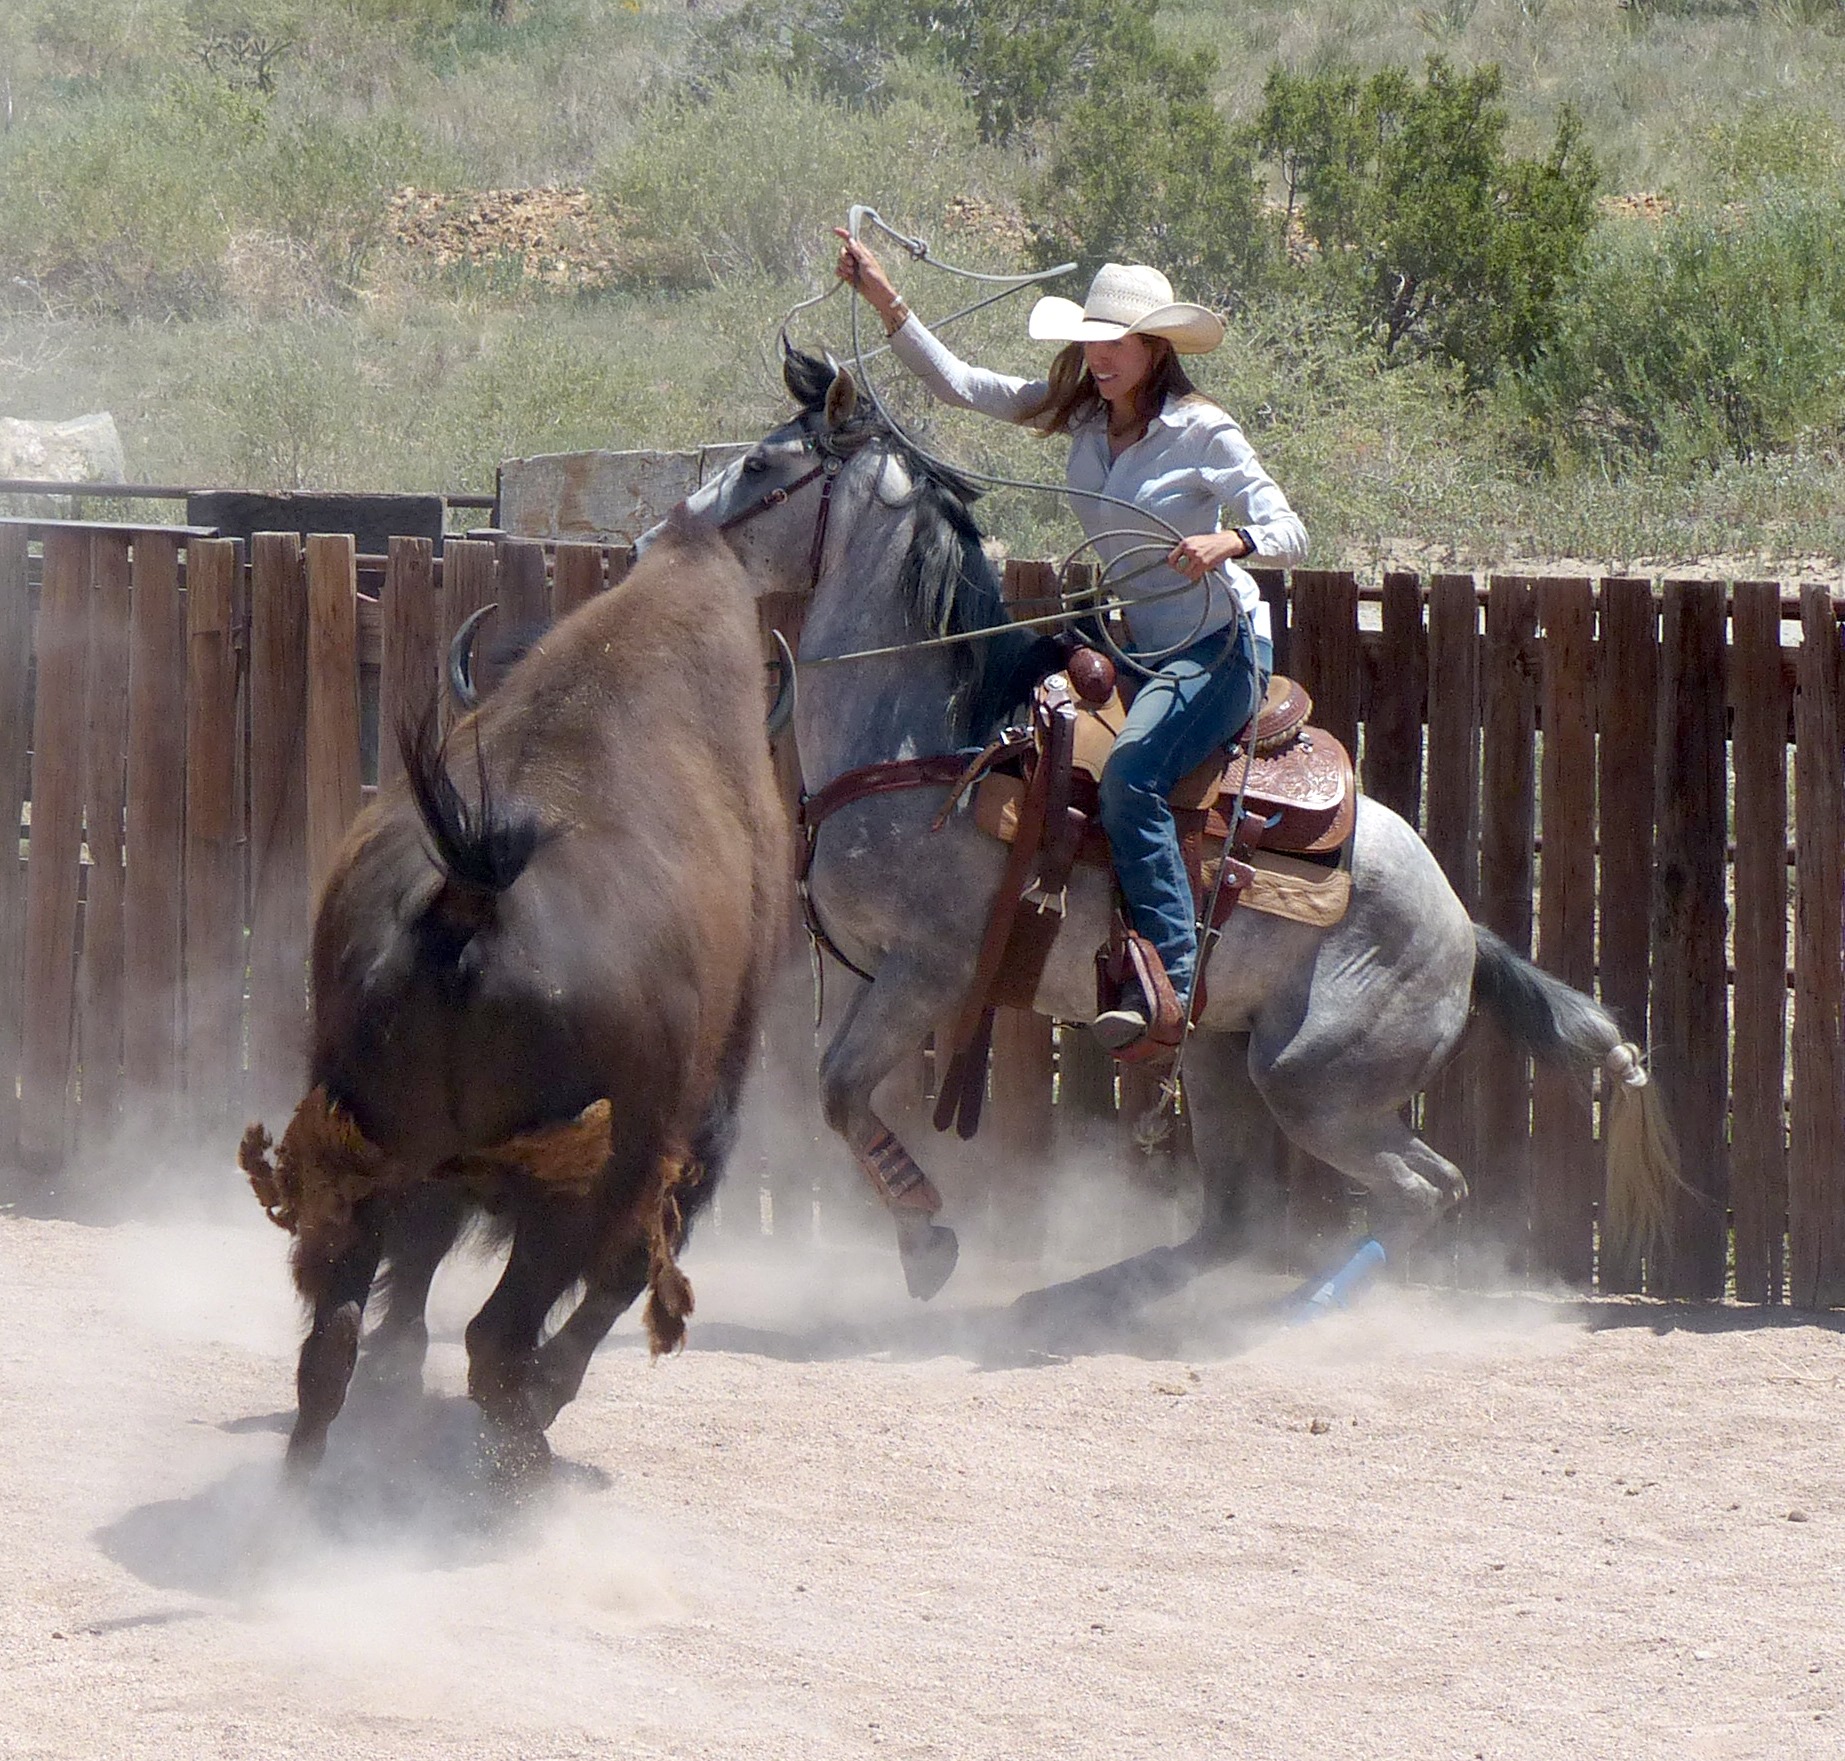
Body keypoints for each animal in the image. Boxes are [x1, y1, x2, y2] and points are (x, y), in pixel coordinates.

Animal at [241, 509, 789, 1469]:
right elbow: (619, 1279)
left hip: (363, 1145)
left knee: (333, 1330)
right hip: (576, 1188)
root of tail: (469, 894)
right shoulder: (684, 1139)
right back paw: (523, 1464)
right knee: (499, 1335)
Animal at [671, 347, 1682, 1306]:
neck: (938, 731)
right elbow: (835, 1092)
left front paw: (925, 1239)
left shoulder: (928, 970)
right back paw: (1079, 1299)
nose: (661, 538)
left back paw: (1293, 1313)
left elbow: (840, 1090)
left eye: (758, 464)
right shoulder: (867, 973)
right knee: (1235, 1218)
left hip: (1310, 1080)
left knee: (1427, 1188)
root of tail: (1459, 928)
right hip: (1218, 1057)